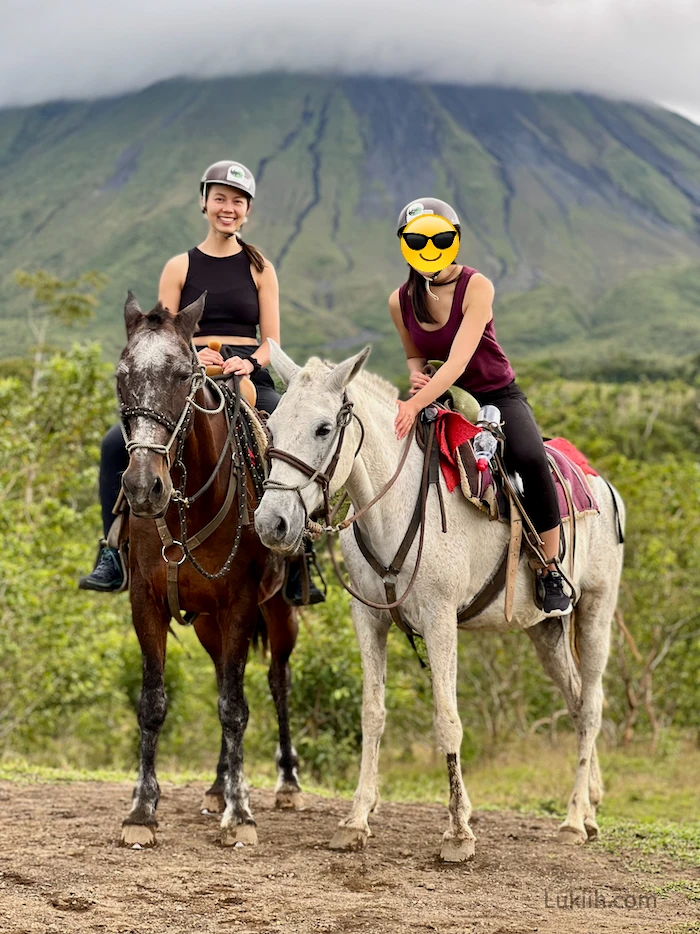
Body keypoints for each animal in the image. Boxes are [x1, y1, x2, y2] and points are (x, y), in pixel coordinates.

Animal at [115, 296, 300, 852]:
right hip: (203, 622)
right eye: (121, 376)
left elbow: (235, 707)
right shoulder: (146, 603)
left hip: (277, 609)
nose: (142, 486)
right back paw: (218, 787)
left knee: (276, 680)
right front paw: (142, 812)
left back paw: (287, 783)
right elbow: (153, 703)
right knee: (222, 674)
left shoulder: (240, 604)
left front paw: (241, 815)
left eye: (182, 376)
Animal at [254, 344, 628, 864]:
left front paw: (458, 831)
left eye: (324, 428)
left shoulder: (439, 620)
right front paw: (356, 820)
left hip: (595, 611)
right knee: (576, 702)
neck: (393, 506)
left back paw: (574, 819)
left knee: (591, 705)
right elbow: (372, 714)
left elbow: (448, 721)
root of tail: (602, 486)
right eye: (272, 424)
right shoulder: (368, 619)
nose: (271, 523)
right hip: (546, 629)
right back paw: (590, 809)